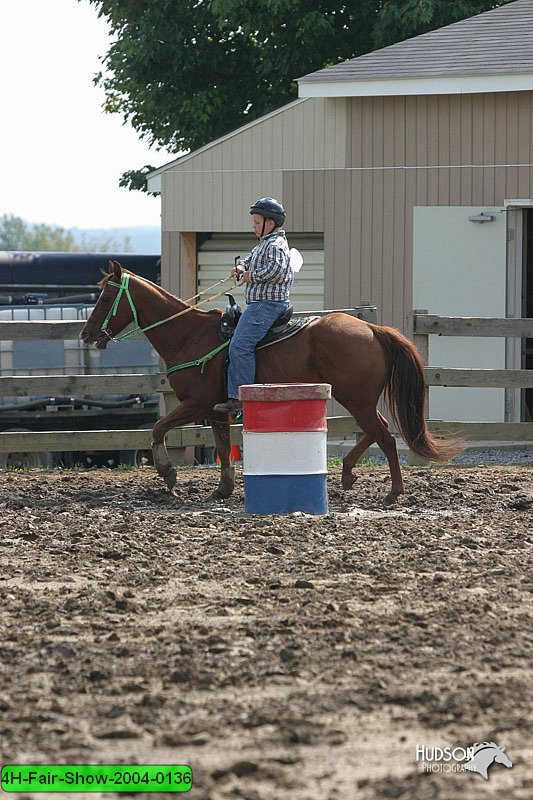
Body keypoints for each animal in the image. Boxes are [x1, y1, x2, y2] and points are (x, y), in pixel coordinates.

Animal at [81, 260, 460, 504]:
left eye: (105, 298)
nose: (86, 335)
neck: (189, 335)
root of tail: (371, 328)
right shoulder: (216, 409)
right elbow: (222, 448)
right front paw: (223, 489)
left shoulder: (196, 403)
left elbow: (158, 428)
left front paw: (168, 473)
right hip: (358, 399)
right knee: (376, 430)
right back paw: (349, 473)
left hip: (357, 398)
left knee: (384, 435)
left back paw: (393, 492)